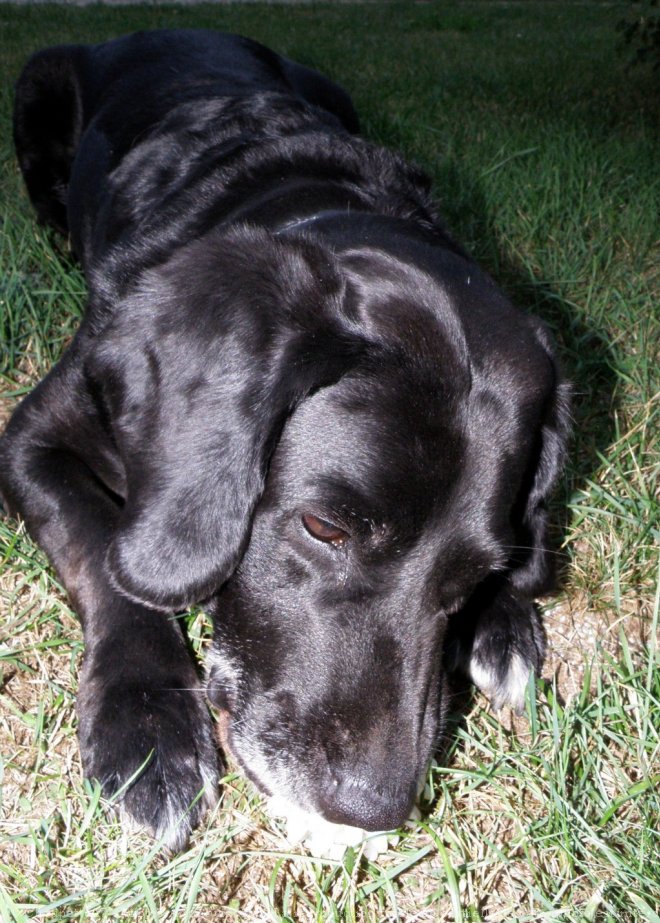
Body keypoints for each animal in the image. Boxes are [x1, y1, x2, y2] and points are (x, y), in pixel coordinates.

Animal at [0, 28, 568, 852]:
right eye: (324, 526)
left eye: (475, 575)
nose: (373, 806)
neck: (310, 197)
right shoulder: (32, 436)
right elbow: (104, 554)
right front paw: (148, 725)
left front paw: (504, 619)